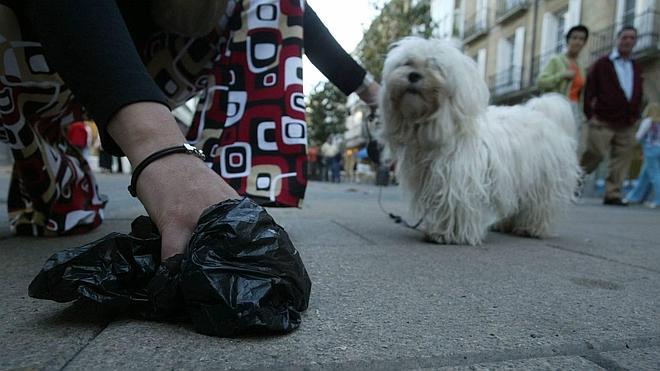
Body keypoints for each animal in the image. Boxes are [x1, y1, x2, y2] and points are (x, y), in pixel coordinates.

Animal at [378, 37, 580, 246]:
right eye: (407, 63)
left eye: (435, 66)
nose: (413, 75)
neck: (437, 128)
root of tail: (546, 116)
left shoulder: (458, 180)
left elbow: (454, 205)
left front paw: (447, 234)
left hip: (542, 181)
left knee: (540, 206)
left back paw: (531, 228)